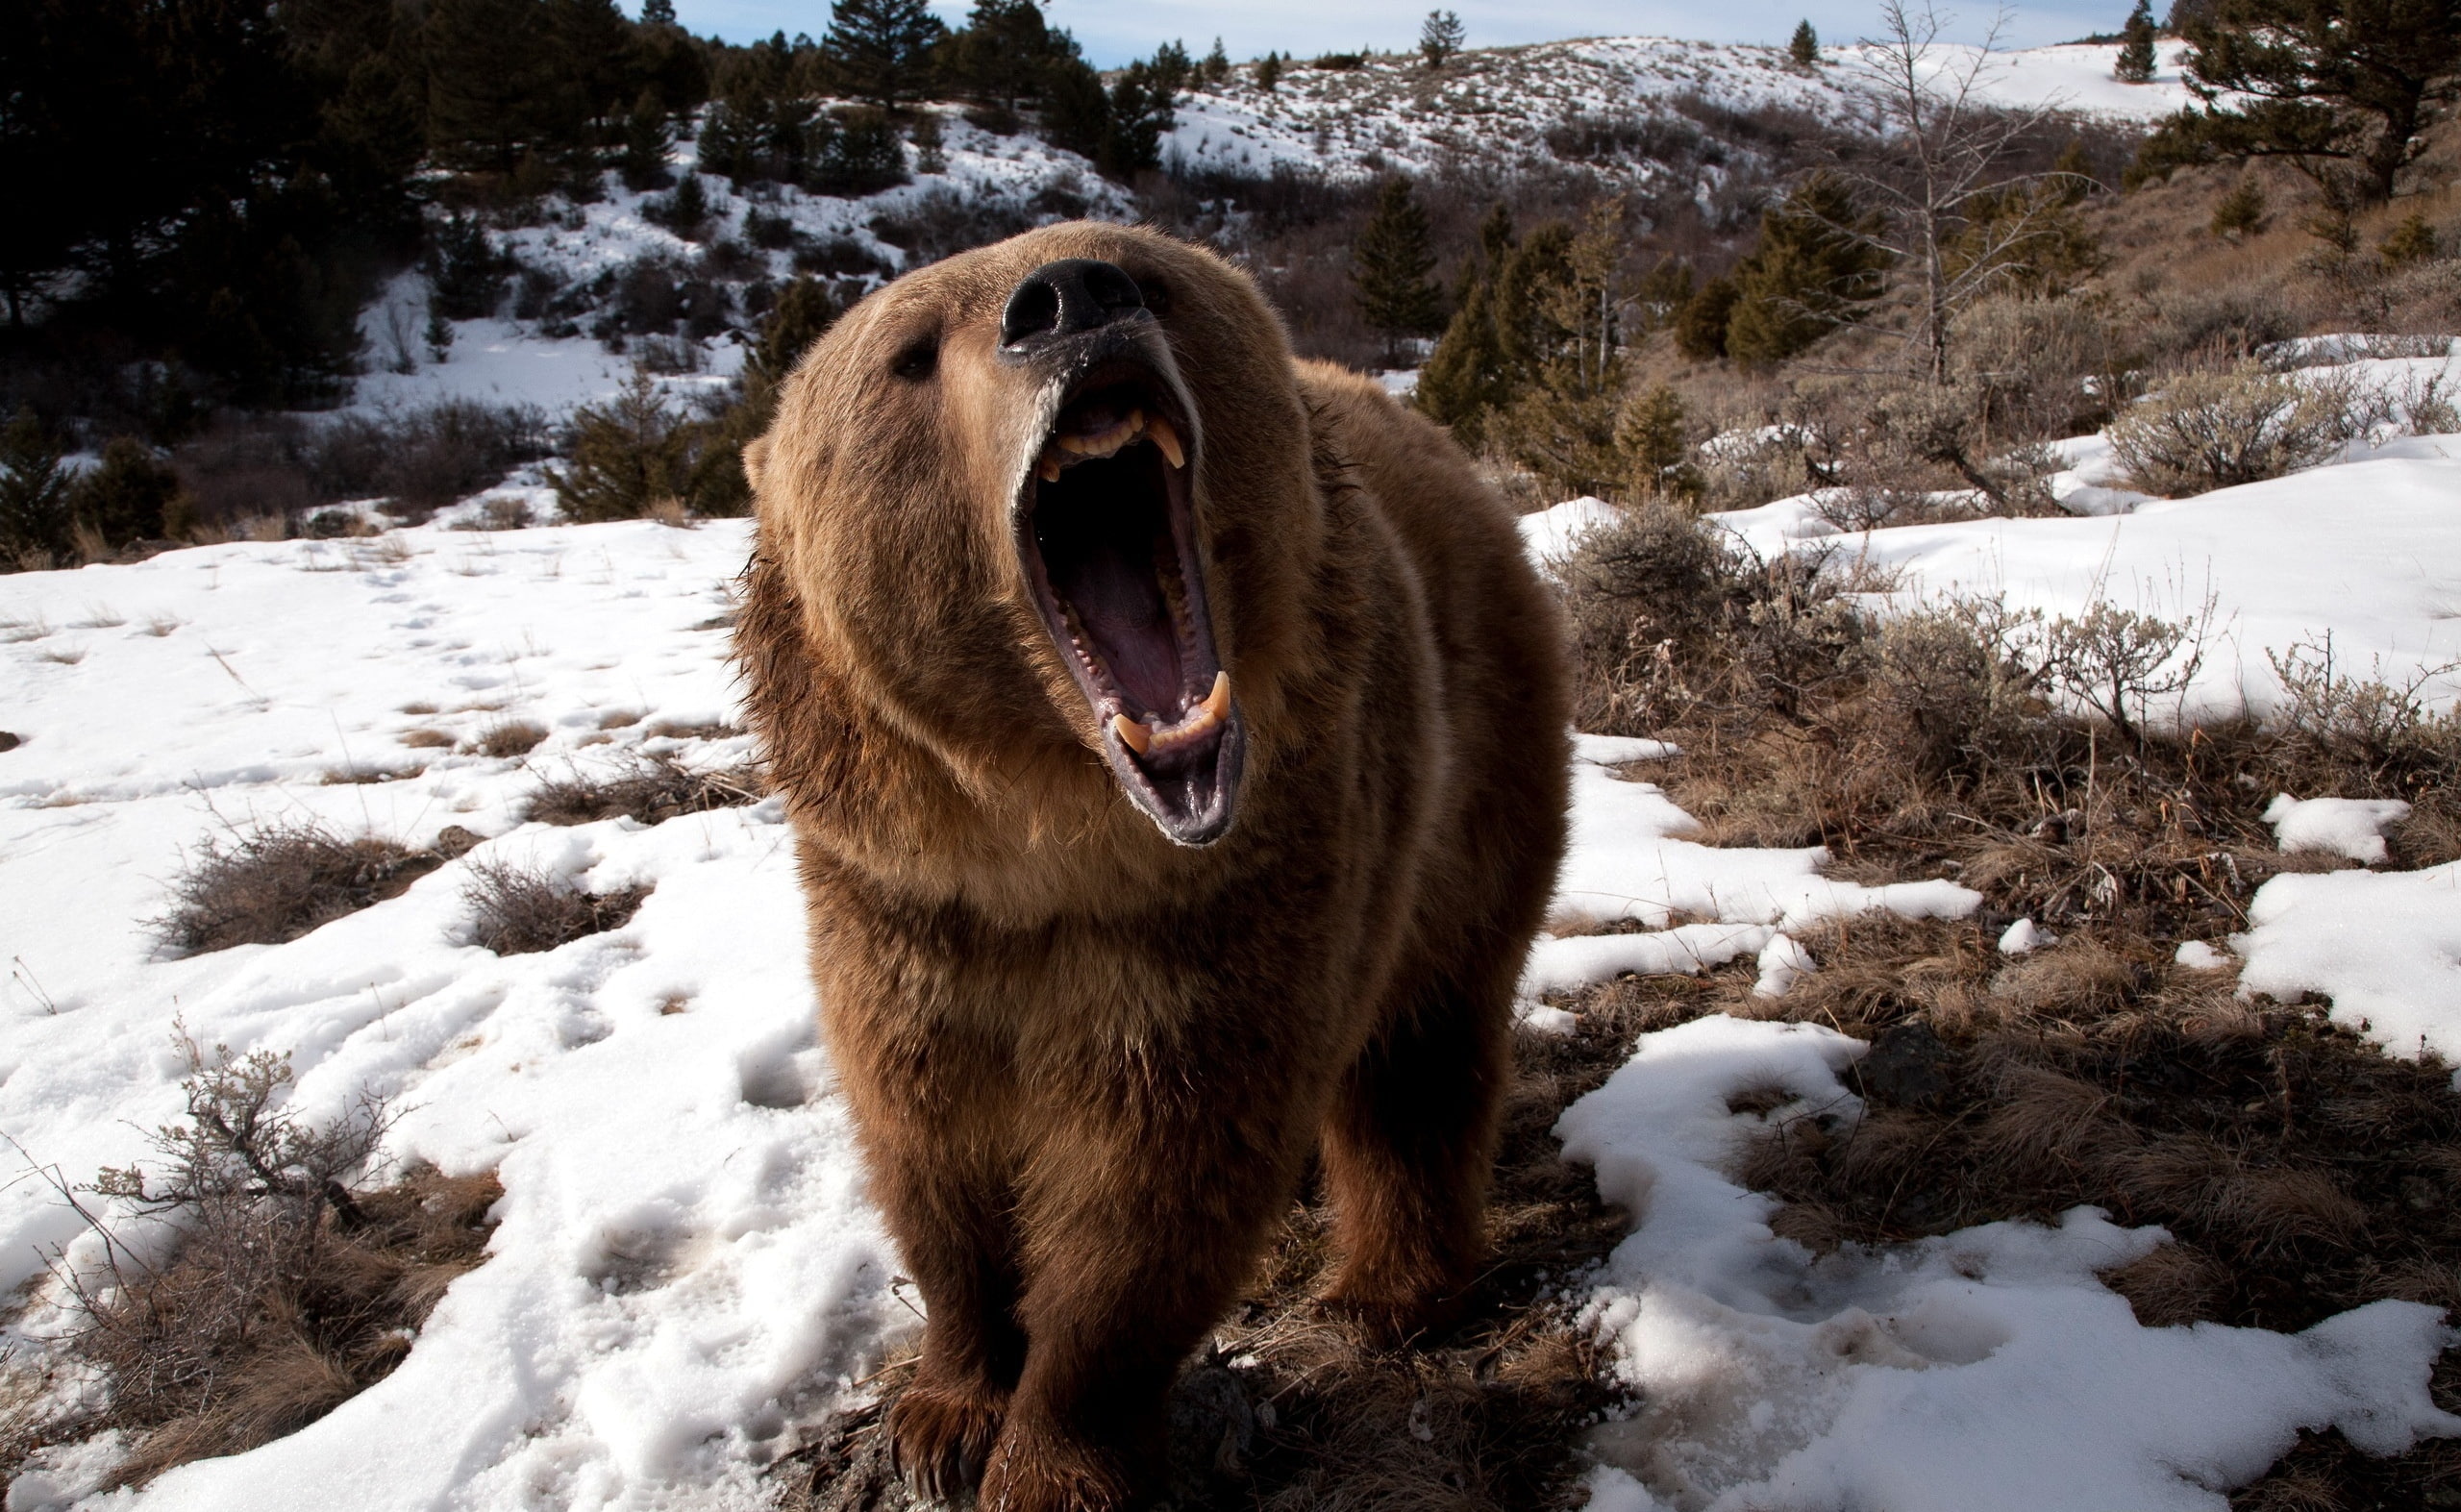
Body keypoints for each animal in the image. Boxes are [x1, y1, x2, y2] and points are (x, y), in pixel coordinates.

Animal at [735, 222, 1569, 1511]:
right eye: (908, 353)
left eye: (1145, 272)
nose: (1070, 300)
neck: (1049, 844)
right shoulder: (901, 908)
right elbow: (929, 1147)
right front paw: (945, 1409)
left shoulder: (1222, 908)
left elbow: (1154, 1183)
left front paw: (1050, 1457)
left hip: (1471, 770)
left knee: (1420, 1045)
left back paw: (1385, 1292)